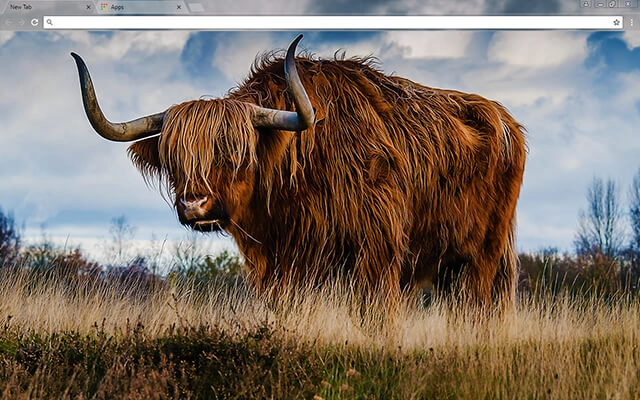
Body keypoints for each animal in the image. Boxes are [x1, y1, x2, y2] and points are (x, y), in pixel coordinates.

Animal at [71, 34, 526, 312]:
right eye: (174, 159)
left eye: (236, 153)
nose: (194, 205)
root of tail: (505, 120)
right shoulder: (279, 265)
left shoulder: (377, 253)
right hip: (451, 264)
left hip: (483, 256)